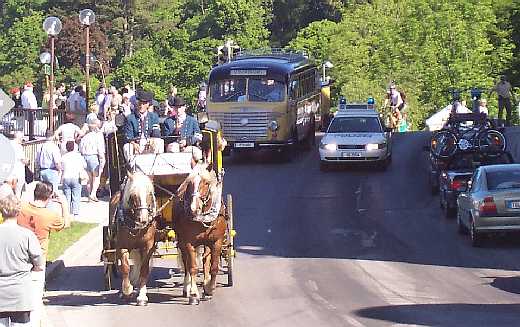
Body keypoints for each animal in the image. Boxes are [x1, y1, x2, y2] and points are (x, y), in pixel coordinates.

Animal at [109, 173, 156, 306]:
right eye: (133, 195)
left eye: (150, 194)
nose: (143, 220)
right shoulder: (122, 246)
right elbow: (125, 267)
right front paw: (127, 290)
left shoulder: (148, 246)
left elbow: (144, 269)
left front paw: (142, 296)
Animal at [174, 165, 226, 306]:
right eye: (189, 183)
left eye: (206, 183)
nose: (193, 208)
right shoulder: (188, 242)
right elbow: (192, 267)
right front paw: (193, 294)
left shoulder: (217, 242)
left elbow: (214, 267)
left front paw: (209, 289)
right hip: (182, 241)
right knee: (186, 262)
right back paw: (187, 287)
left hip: (206, 243)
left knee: (205, 259)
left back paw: (205, 283)